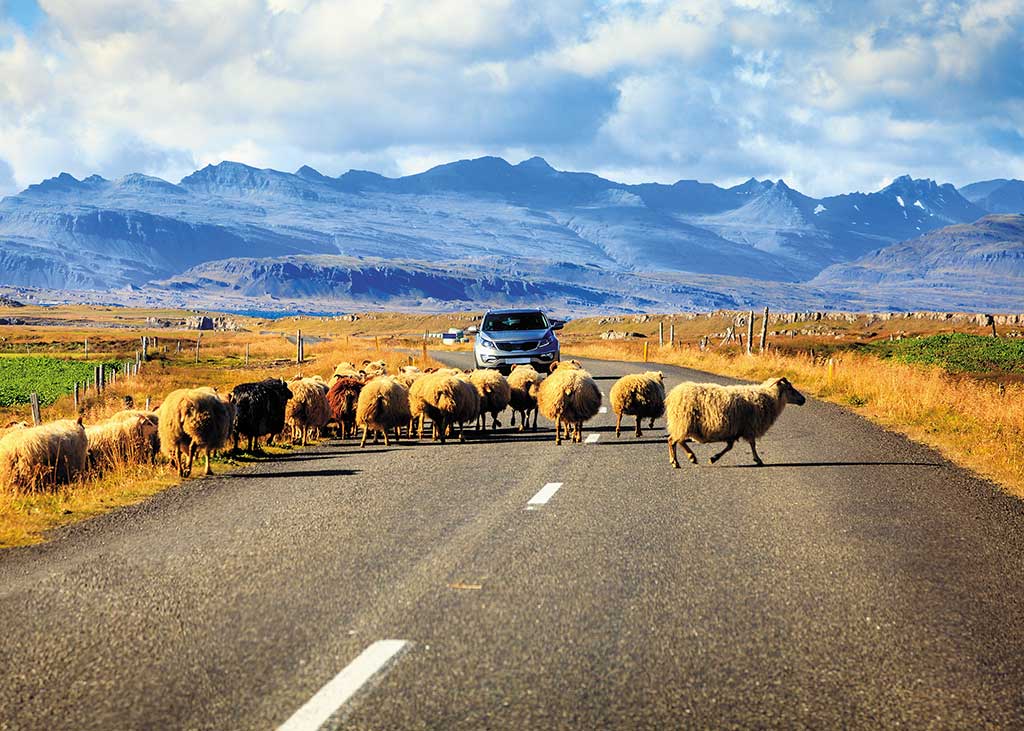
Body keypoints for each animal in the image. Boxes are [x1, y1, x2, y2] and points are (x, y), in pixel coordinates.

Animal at [663, 376, 806, 466]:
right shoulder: (749, 426)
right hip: (684, 421)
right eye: (790, 388)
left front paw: (714, 458)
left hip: (682, 423)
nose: (803, 399)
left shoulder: (735, 430)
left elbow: (729, 447)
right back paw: (688, 458)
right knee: (676, 440)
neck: (768, 397)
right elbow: (752, 444)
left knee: (673, 440)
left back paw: (675, 461)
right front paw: (758, 460)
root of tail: (674, 394)